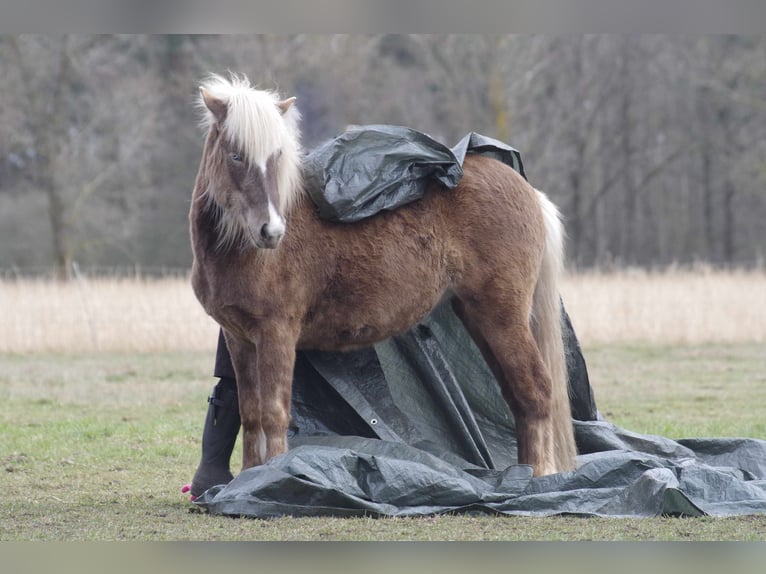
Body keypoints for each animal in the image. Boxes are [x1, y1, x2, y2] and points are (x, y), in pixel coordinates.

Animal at [190, 74, 576, 480]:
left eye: (277, 157)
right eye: (235, 156)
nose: (271, 231)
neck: (241, 251)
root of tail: (527, 191)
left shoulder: (277, 333)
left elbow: (274, 414)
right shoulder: (239, 338)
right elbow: (250, 415)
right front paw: (247, 477)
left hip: (503, 316)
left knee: (536, 389)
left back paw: (537, 477)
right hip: (479, 316)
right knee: (518, 393)